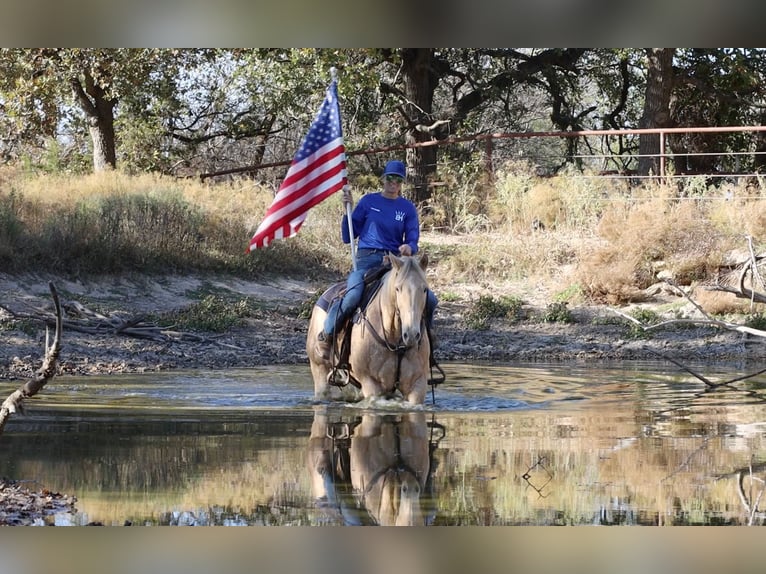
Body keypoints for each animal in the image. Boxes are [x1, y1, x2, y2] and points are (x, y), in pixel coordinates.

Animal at [306, 253, 431, 405]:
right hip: (319, 370)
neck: (394, 338)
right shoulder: (370, 383)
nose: (412, 335)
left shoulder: (417, 384)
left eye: (424, 289)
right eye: (397, 288)